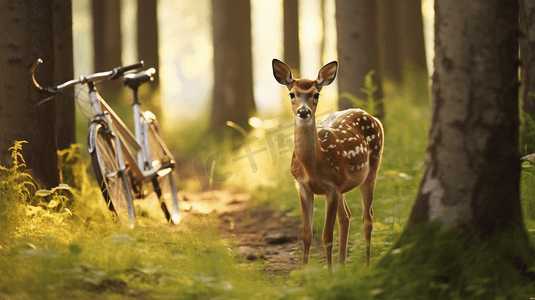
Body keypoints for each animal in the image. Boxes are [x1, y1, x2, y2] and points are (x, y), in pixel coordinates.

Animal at [272, 58, 386, 268]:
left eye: (316, 94)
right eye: (292, 94)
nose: (303, 112)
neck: (313, 165)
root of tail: (373, 117)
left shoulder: (332, 187)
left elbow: (326, 235)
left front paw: (329, 273)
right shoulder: (302, 185)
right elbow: (306, 234)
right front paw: (304, 273)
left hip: (372, 166)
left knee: (367, 217)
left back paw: (366, 265)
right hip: (343, 184)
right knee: (346, 216)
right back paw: (342, 266)